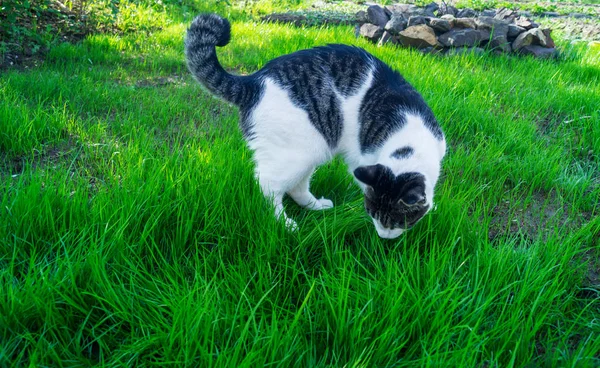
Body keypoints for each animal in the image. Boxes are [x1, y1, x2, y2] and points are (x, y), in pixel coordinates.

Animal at [186, 12, 446, 239]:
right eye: (373, 215)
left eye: (399, 221)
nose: (383, 237)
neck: (407, 139)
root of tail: (253, 81)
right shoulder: (361, 160)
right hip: (300, 149)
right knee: (268, 184)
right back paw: (284, 223)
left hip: (311, 150)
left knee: (296, 186)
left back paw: (316, 205)